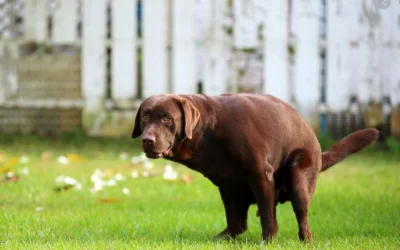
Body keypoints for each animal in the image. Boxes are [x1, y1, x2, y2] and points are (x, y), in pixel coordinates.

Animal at [131, 93, 378, 242]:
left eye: (166, 118)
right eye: (145, 116)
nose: (147, 140)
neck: (208, 131)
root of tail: (318, 148)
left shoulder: (260, 175)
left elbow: (269, 218)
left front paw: (267, 241)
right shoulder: (227, 186)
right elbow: (235, 220)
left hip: (299, 177)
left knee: (303, 219)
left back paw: (305, 240)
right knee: (240, 223)